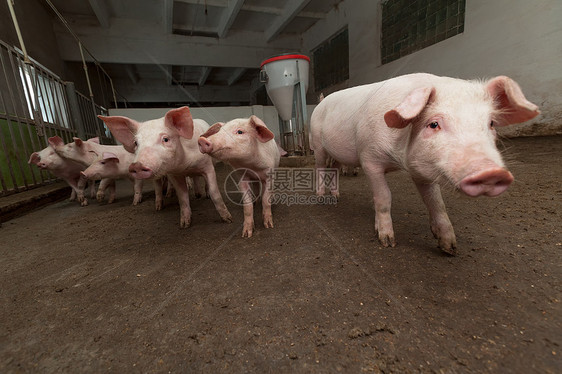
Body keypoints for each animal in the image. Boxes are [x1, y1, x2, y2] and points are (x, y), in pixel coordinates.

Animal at [98, 106, 232, 228]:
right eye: (136, 143)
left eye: (166, 139)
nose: (137, 165)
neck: (185, 165)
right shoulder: (174, 174)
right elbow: (182, 197)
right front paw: (184, 225)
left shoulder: (207, 166)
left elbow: (215, 192)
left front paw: (228, 219)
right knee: (160, 187)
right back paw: (160, 206)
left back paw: (202, 195)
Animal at [310, 73, 540, 254]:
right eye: (433, 124)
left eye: (491, 123)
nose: (491, 172)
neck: (399, 160)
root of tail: (321, 102)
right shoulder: (369, 158)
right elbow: (384, 197)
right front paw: (388, 242)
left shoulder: (422, 171)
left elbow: (436, 202)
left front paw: (450, 248)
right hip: (318, 144)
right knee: (320, 167)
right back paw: (321, 198)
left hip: (337, 153)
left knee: (334, 169)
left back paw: (336, 196)